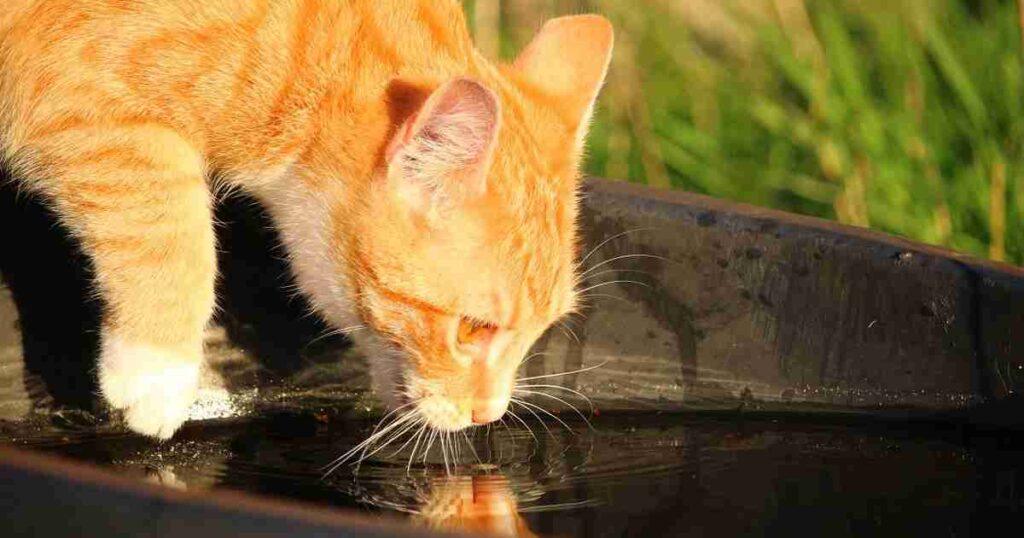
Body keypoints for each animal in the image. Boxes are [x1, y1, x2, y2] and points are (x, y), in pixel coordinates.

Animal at [0, 2, 606, 438]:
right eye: (473, 328)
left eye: (541, 330)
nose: (489, 414)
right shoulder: (77, 96)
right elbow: (169, 220)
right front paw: (158, 370)